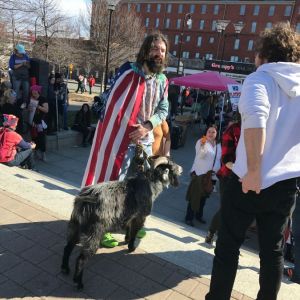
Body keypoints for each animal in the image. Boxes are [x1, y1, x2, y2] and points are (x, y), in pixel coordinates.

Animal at [61, 156, 183, 290]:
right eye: (172, 166)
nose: (181, 169)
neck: (149, 183)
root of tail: (83, 200)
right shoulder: (140, 217)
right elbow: (134, 232)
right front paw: (131, 247)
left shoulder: (130, 216)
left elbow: (129, 230)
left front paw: (126, 239)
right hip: (93, 233)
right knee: (81, 259)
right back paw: (79, 282)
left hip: (75, 226)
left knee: (68, 247)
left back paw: (65, 268)